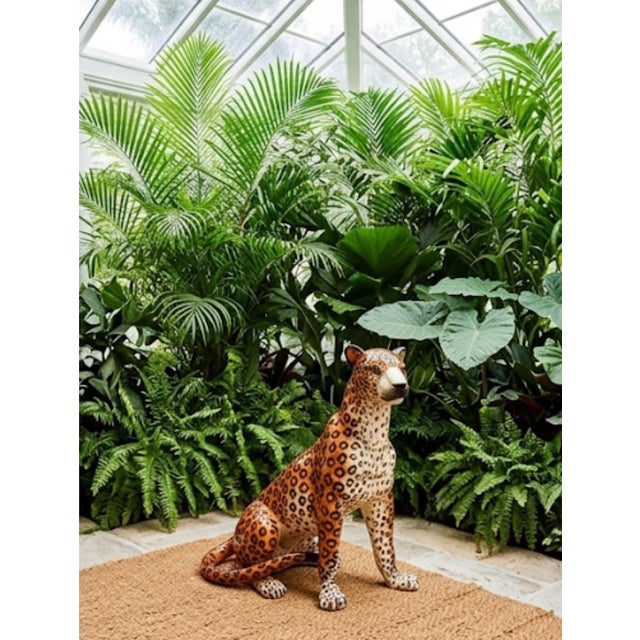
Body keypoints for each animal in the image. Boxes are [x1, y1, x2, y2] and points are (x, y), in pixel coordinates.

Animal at [200, 344, 419, 611]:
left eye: (402, 369)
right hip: (265, 524)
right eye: (375, 369)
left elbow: (385, 547)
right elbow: (331, 556)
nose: (401, 385)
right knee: (242, 565)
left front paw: (395, 578)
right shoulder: (330, 503)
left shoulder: (380, 499)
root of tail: (233, 537)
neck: (375, 432)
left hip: (307, 535)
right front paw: (329, 593)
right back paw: (268, 583)